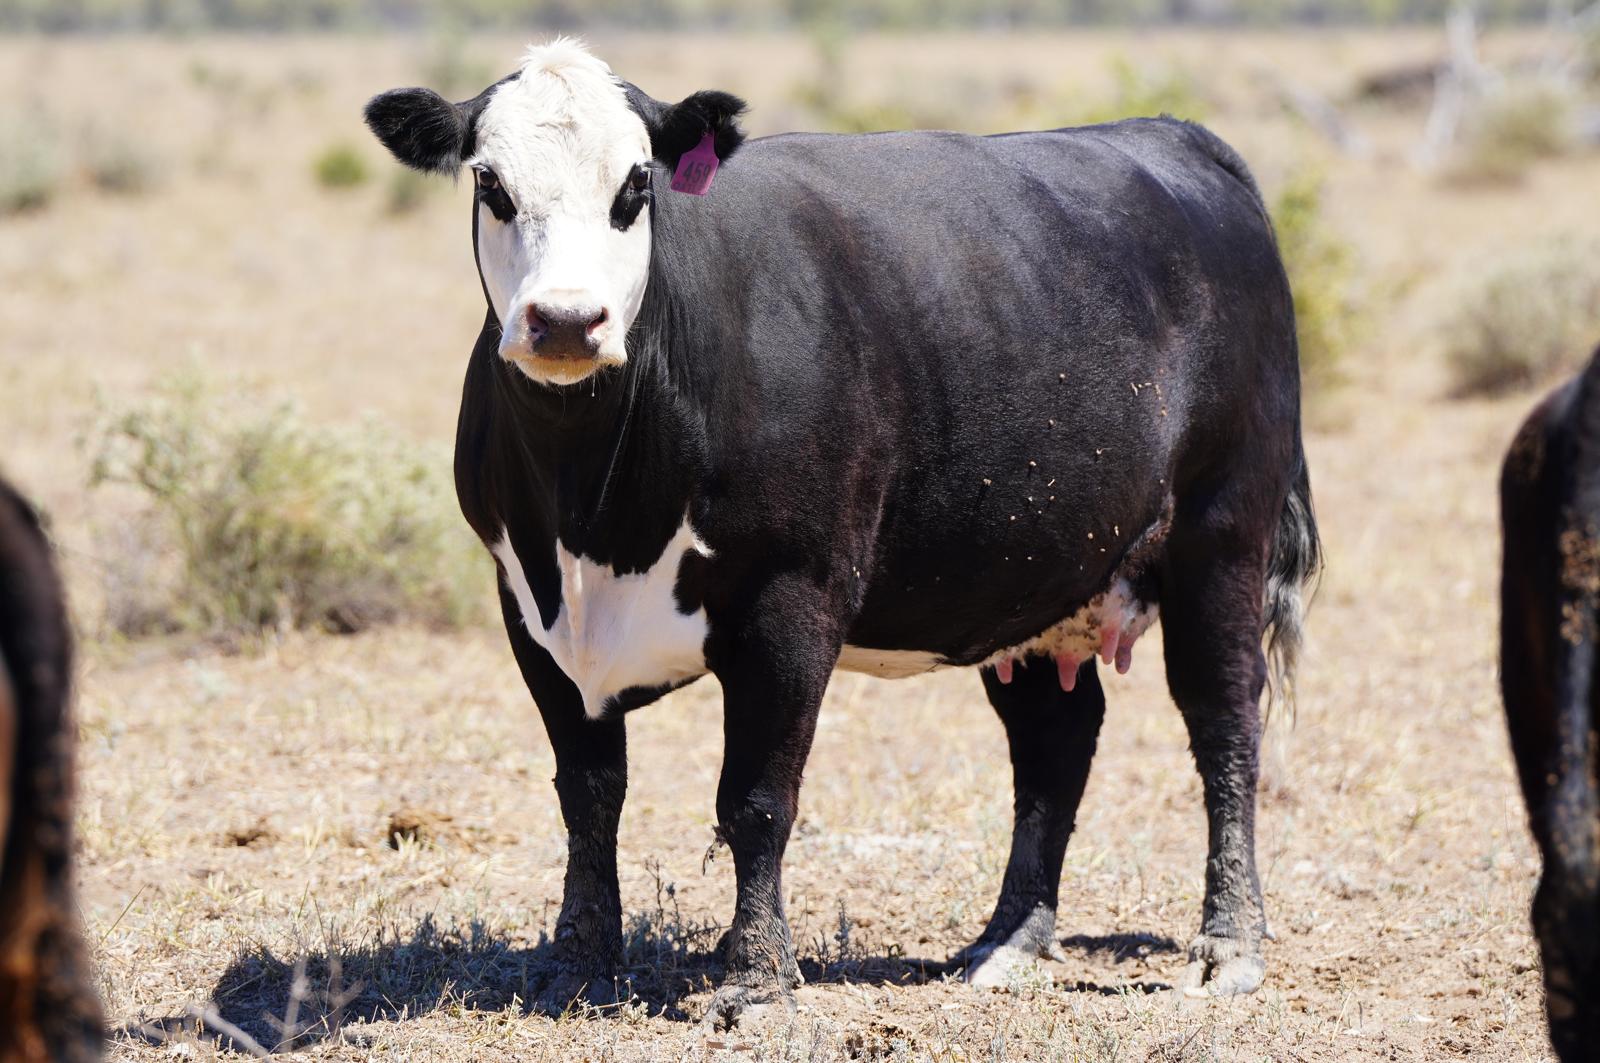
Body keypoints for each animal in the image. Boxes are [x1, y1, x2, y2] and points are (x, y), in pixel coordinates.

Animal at [364, 38, 1321, 1027]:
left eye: (635, 182)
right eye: (490, 183)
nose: (563, 320)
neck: (595, 508)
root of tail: (1175, 136)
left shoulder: (792, 598)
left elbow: (754, 800)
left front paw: (755, 978)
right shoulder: (530, 601)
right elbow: (588, 793)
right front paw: (578, 961)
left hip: (1223, 531)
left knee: (1223, 720)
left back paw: (1228, 944)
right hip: (1029, 565)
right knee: (1054, 739)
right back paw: (1009, 940)